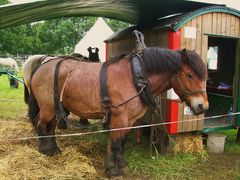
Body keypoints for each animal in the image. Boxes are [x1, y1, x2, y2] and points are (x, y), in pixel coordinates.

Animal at [27, 47, 208, 176]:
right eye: (189, 75)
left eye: (205, 77)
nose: (203, 106)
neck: (136, 77)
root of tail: (41, 66)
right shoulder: (120, 117)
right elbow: (115, 143)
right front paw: (113, 170)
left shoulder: (130, 120)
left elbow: (122, 142)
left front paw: (122, 165)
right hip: (47, 107)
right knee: (41, 125)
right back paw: (45, 150)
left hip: (55, 108)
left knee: (50, 127)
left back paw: (54, 150)